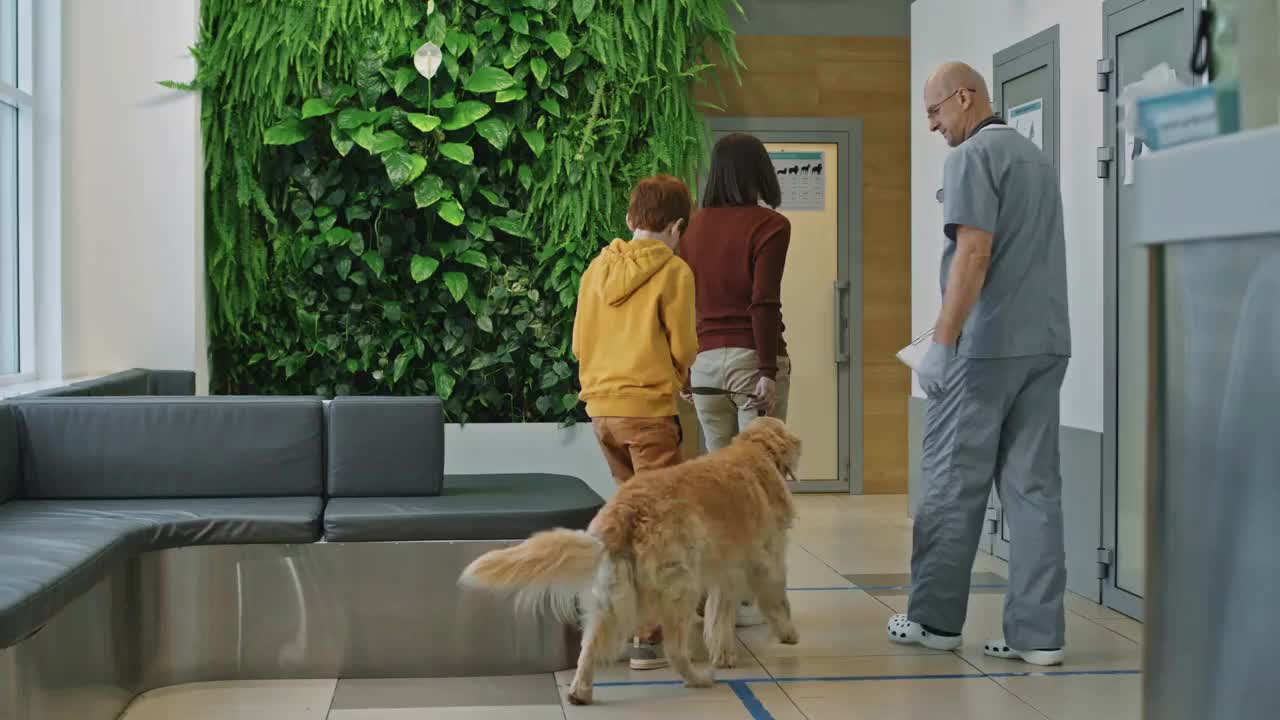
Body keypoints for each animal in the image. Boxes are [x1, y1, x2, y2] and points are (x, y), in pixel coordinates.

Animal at [460, 415, 798, 702]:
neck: (755, 452)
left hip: (609, 597)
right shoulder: (766, 560)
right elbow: (777, 600)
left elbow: (719, 617)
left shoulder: (725, 572)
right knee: (675, 649)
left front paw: (724, 653)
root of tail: (624, 511)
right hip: (681, 587)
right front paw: (787, 634)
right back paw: (698, 678)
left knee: (589, 647)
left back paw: (580, 691)